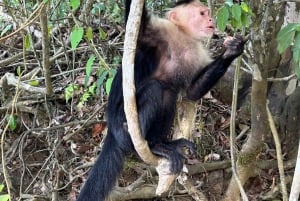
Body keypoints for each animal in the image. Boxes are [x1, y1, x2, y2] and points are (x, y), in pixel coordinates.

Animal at [76, 0, 245, 200]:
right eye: (202, 13)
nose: (211, 20)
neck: (183, 36)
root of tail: (111, 130)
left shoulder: (197, 54)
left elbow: (192, 92)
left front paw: (231, 51)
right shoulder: (162, 31)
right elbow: (140, 29)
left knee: (168, 94)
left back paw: (161, 144)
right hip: (122, 126)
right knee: (154, 89)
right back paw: (148, 145)